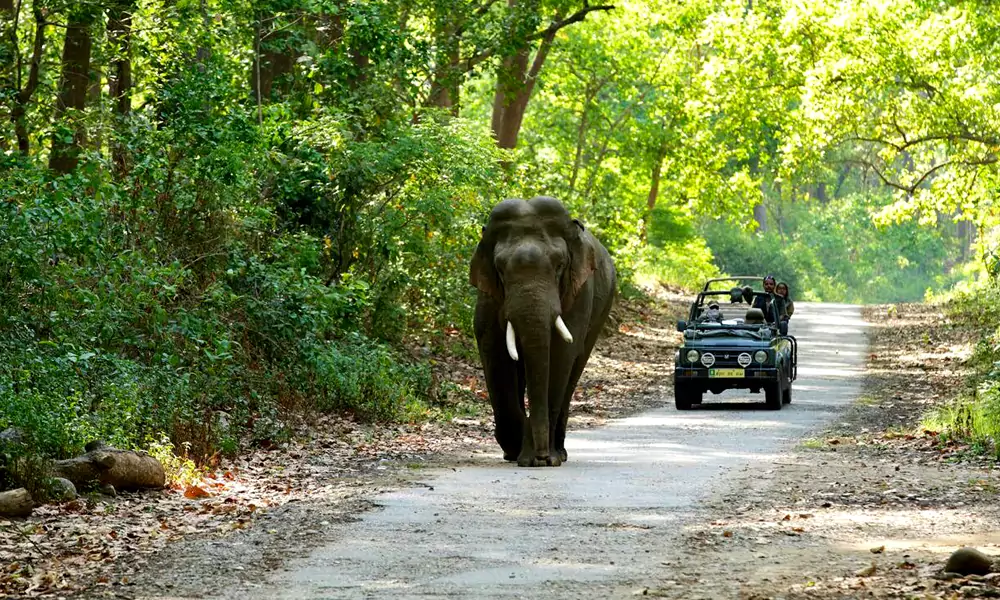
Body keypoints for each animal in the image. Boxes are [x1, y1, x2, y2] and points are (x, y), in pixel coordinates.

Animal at [468, 195, 616, 466]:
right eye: (500, 268)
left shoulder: (580, 292)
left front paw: (542, 459)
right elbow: (494, 350)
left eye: (559, 266)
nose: (541, 456)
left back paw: (560, 452)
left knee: (574, 370)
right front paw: (519, 451)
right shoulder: (488, 294)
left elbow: (560, 354)